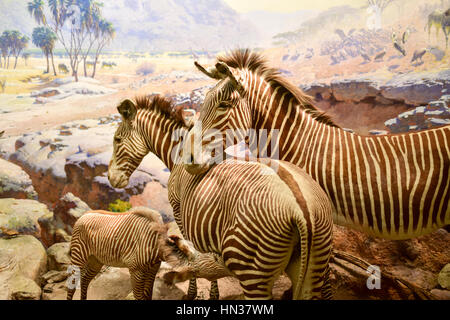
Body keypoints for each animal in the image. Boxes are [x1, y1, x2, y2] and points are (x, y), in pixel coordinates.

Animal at [106, 95, 334, 300]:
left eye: (117, 139)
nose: (111, 178)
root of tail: (301, 209)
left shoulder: (180, 211)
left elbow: (192, 254)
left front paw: (193, 293)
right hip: (315, 265)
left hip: (253, 269)